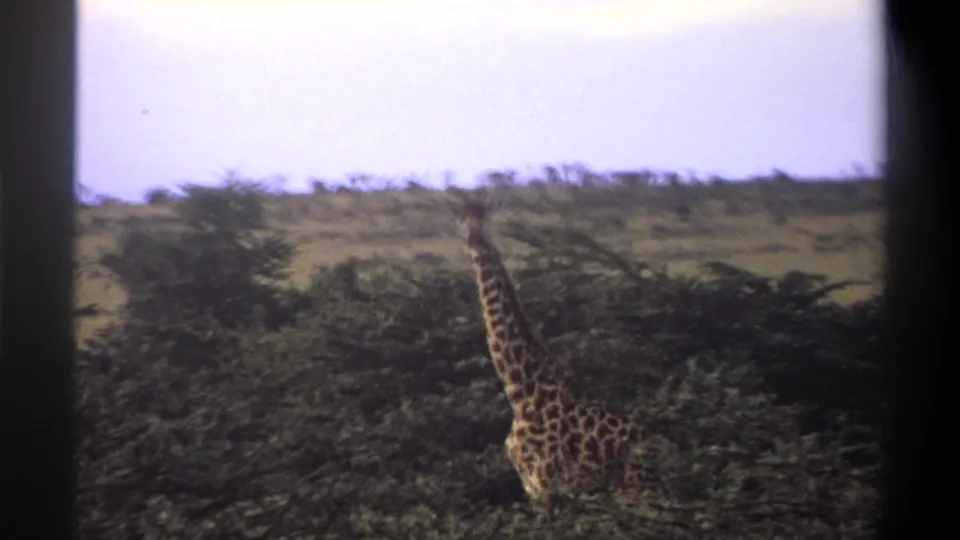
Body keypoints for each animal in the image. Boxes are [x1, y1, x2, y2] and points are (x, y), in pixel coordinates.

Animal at [448, 193, 681, 517]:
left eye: (485, 218)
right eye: (461, 219)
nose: (476, 243)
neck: (521, 391)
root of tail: (678, 460)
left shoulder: (547, 486)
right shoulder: (532, 489)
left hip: (638, 493)